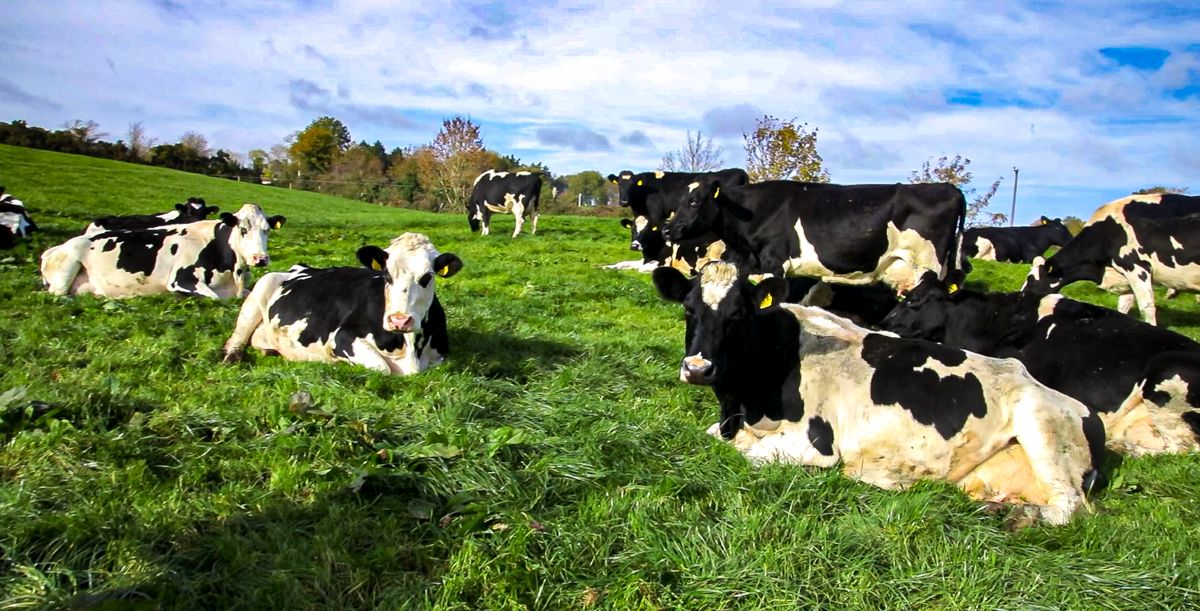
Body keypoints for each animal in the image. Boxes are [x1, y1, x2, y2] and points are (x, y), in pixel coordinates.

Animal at [40, 203, 285, 299]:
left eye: (267, 230)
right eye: (243, 229)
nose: (260, 258)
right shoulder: (181, 280)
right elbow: (215, 297)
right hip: (66, 271)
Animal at [222, 233, 463, 375]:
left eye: (427, 277)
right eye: (387, 275)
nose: (399, 320)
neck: (411, 347)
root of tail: (301, 267)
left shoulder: (440, 356)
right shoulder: (342, 336)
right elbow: (381, 367)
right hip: (258, 291)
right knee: (237, 338)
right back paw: (230, 358)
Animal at [652, 261, 1102, 525]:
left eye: (740, 314)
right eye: (689, 308)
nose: (698, 368)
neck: (742, 403)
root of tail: (1082, 408)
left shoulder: (817, 444)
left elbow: (751, 454)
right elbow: (714, 438)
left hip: (1041, 426)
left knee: (1071, 508)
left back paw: (1023, 516)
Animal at [1022, 193, 1200, 325]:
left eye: (1032, 280)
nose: (1021, 295)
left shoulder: (1136, 267)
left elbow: (1146, 307)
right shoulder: (1124, 274)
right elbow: (1124, 304)